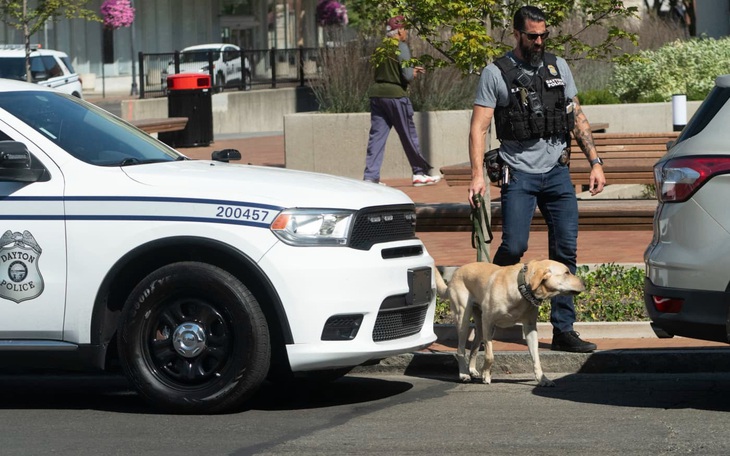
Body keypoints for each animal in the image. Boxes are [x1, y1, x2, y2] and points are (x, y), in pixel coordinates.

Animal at [432, 260, 584, 388]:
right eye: (566, 272)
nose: (584, 283)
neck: (522, 289)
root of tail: (455, 274)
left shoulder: (530, 328)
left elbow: (536, 358)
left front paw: (542, 379)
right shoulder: (488, 321)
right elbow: (489, 355)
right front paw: (486, 375)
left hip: (480, 326)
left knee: (474, 347)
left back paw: (472, 370)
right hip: (463, 317)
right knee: (460, 349)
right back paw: (464, 374)